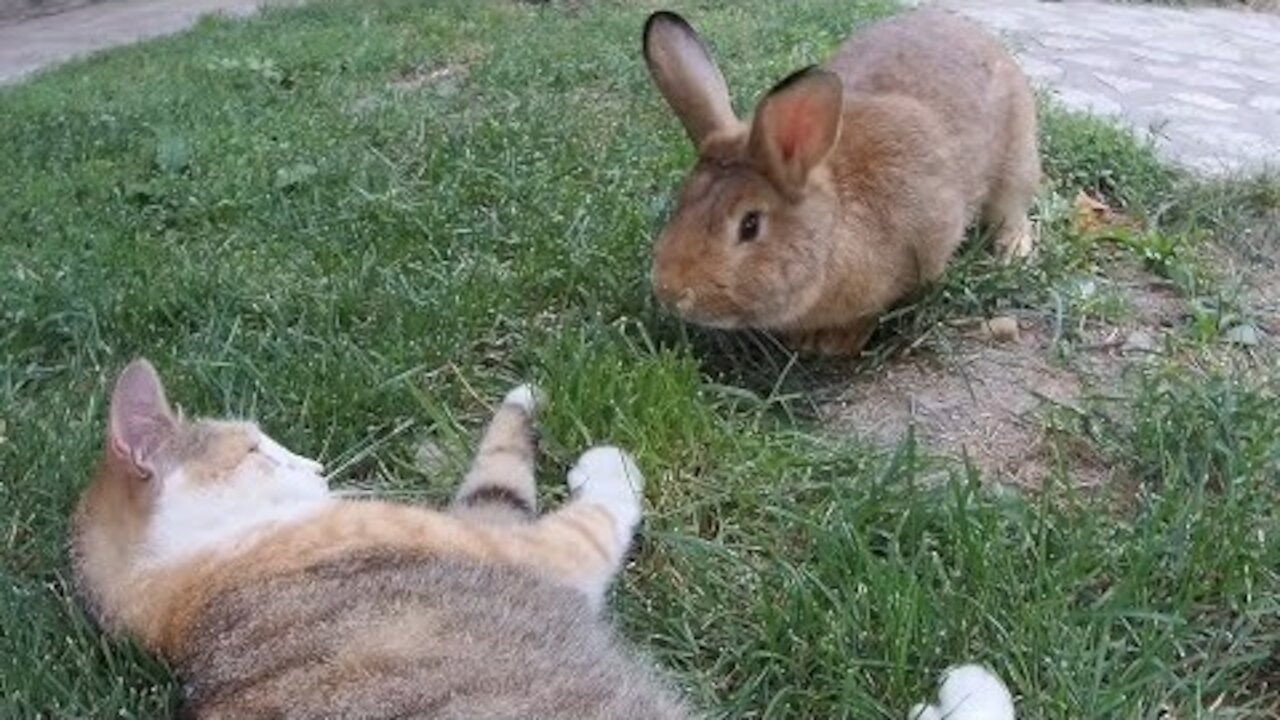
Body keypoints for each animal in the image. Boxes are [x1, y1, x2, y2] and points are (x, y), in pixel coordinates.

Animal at [72, 356, 1018, 712]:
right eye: (257, 449)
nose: (316, 465)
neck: (187, 591)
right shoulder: (525, 544)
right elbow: (567, 499)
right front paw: (601, 458)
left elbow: (498, 464)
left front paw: (524, 400)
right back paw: (969, 689)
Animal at [640, 5, 1039, 353]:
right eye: (681, 202)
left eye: (750, 225)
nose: (670, 292)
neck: (834, 223)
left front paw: (835, 342)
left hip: (1016, 161)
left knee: (1013, 210)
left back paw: (1013, 252)